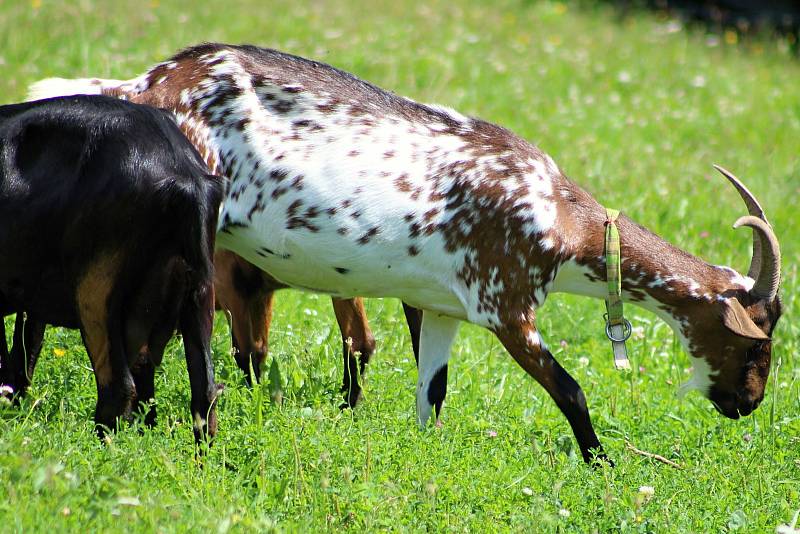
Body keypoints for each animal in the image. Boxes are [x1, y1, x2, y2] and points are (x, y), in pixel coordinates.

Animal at [29, 44, 780, 464]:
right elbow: (570, 389)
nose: (746, 405)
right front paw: (603, 468)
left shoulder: (437, 305)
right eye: (759, 341)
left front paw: (424, 457)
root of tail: (143, 84)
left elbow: (434, 393)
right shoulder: (507, 304)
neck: (561, 217)